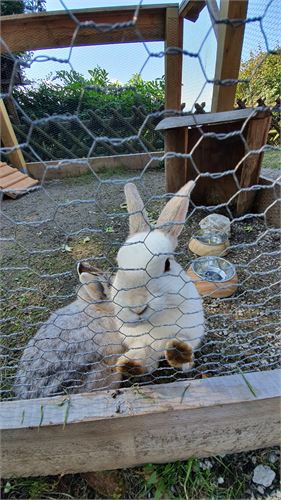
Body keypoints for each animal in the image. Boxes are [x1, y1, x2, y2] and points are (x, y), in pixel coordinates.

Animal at [110, 182, 205, 376]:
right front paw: (128, 364)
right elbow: (144, 351)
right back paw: (129, 366)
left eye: (167, 264)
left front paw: (179, 352)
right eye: (119, 265)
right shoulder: (137, 339)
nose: (137, 308)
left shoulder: (191, 330)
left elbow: (185, 344)